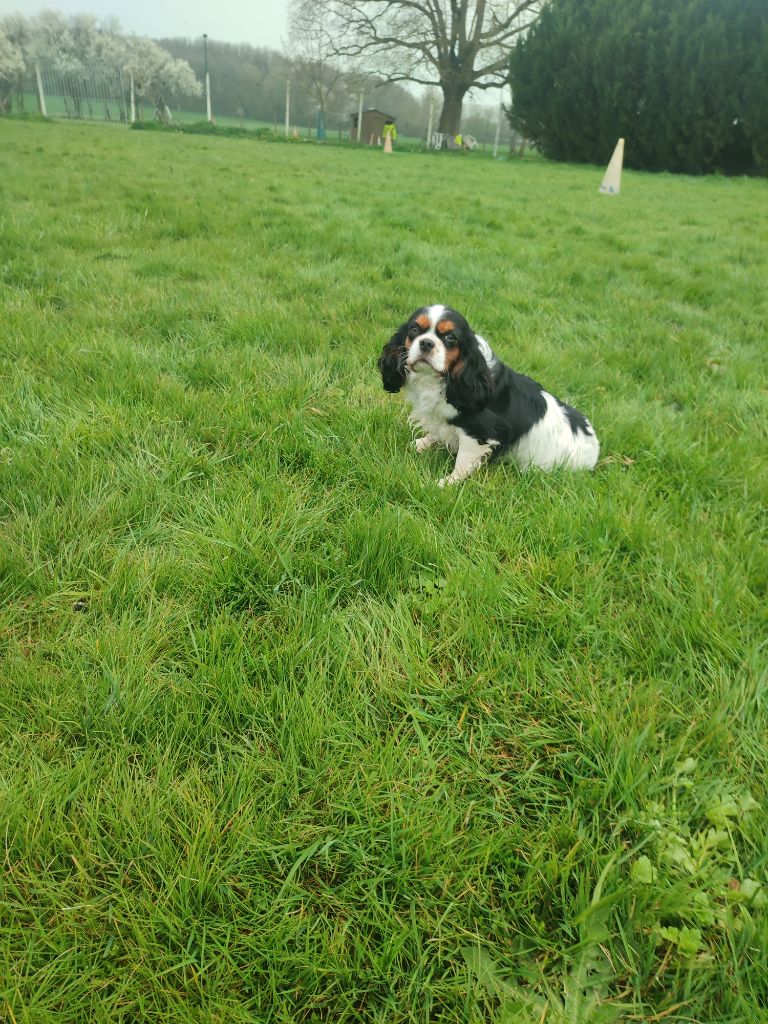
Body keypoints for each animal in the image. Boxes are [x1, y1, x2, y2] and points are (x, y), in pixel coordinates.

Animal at [378, 305, 602, 485]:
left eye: (450, 338)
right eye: (414, 330)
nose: (426, 343)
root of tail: (595, 449)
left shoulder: (478, 432)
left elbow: (463, 461)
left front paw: (447, 483)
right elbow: (437, 430)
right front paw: (422, 443)